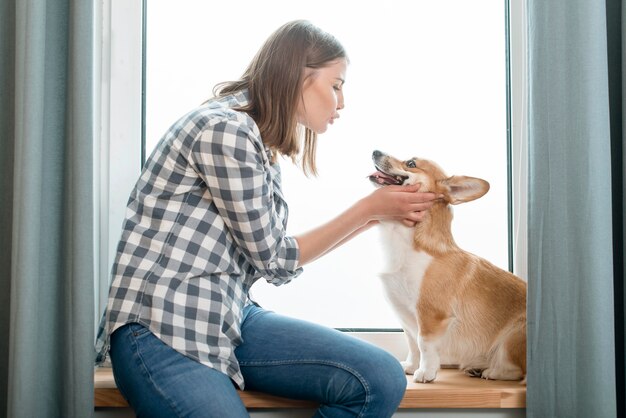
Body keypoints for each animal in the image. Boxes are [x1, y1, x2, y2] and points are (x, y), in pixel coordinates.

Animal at [368, 150, 524, 382]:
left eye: (411, 163)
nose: (375, 151)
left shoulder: (431, 316)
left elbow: (424, 344)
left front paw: (425, 373)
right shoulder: (406, 318)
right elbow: (412, 344)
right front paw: (411, 366)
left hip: (512, 337)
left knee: (518, 371)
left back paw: (491, 371)